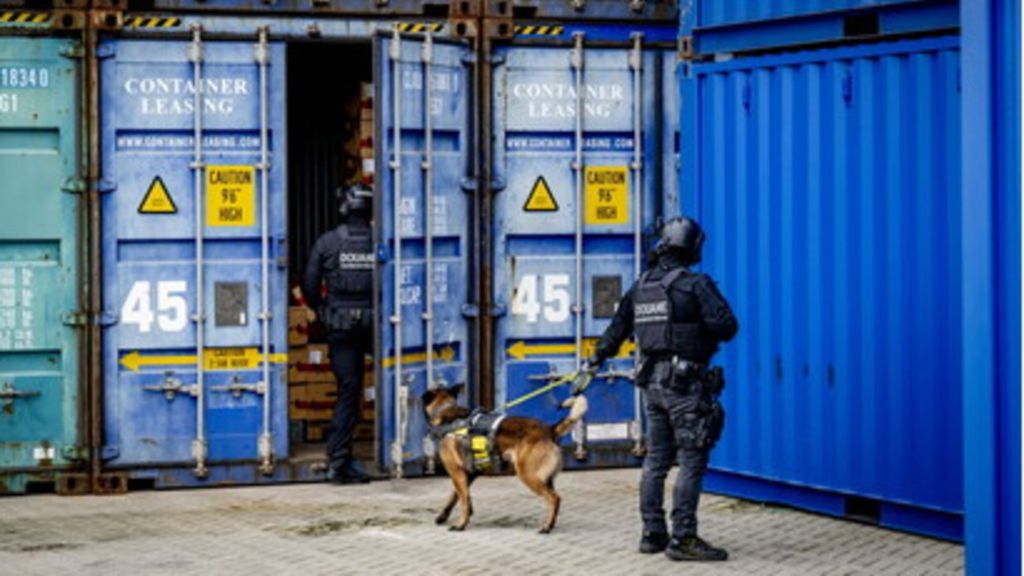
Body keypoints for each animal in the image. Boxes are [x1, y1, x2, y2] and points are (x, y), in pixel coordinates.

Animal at [419, 383, 589, 532]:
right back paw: (550, 523)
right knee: (553, 498)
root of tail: (549, 429)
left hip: (528, 475)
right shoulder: (467, 474)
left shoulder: (457, 472)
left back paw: (547, 527)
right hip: (545, 479)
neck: (445, 409)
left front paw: (461, 524)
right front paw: (443, 516)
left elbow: (463, 501)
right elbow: (457, 497)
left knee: (554, 498)